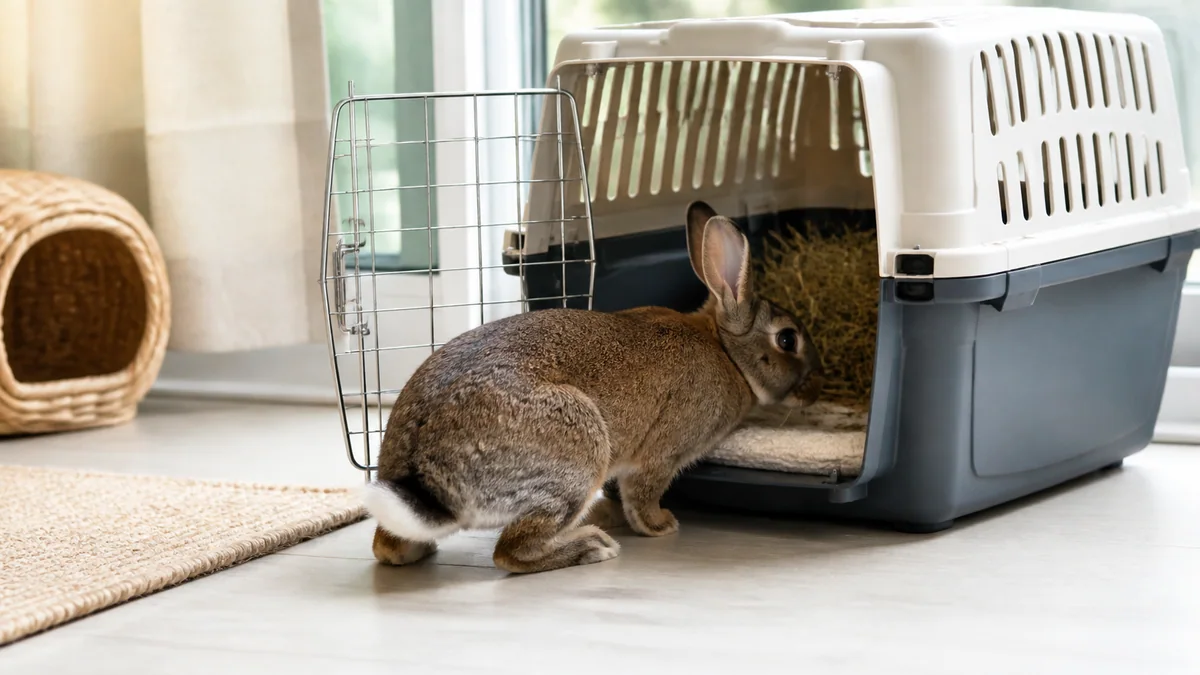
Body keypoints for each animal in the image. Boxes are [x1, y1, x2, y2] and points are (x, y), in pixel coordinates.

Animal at [362, 200, 824, 574]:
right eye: (787, 340)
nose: (815, 391)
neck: (726, 350)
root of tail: (424, 473)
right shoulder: (662, 455)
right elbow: (644, 493)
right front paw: (661, 525)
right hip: (577, 458)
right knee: (511, 552)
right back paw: (593, 547)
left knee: (388, 547)